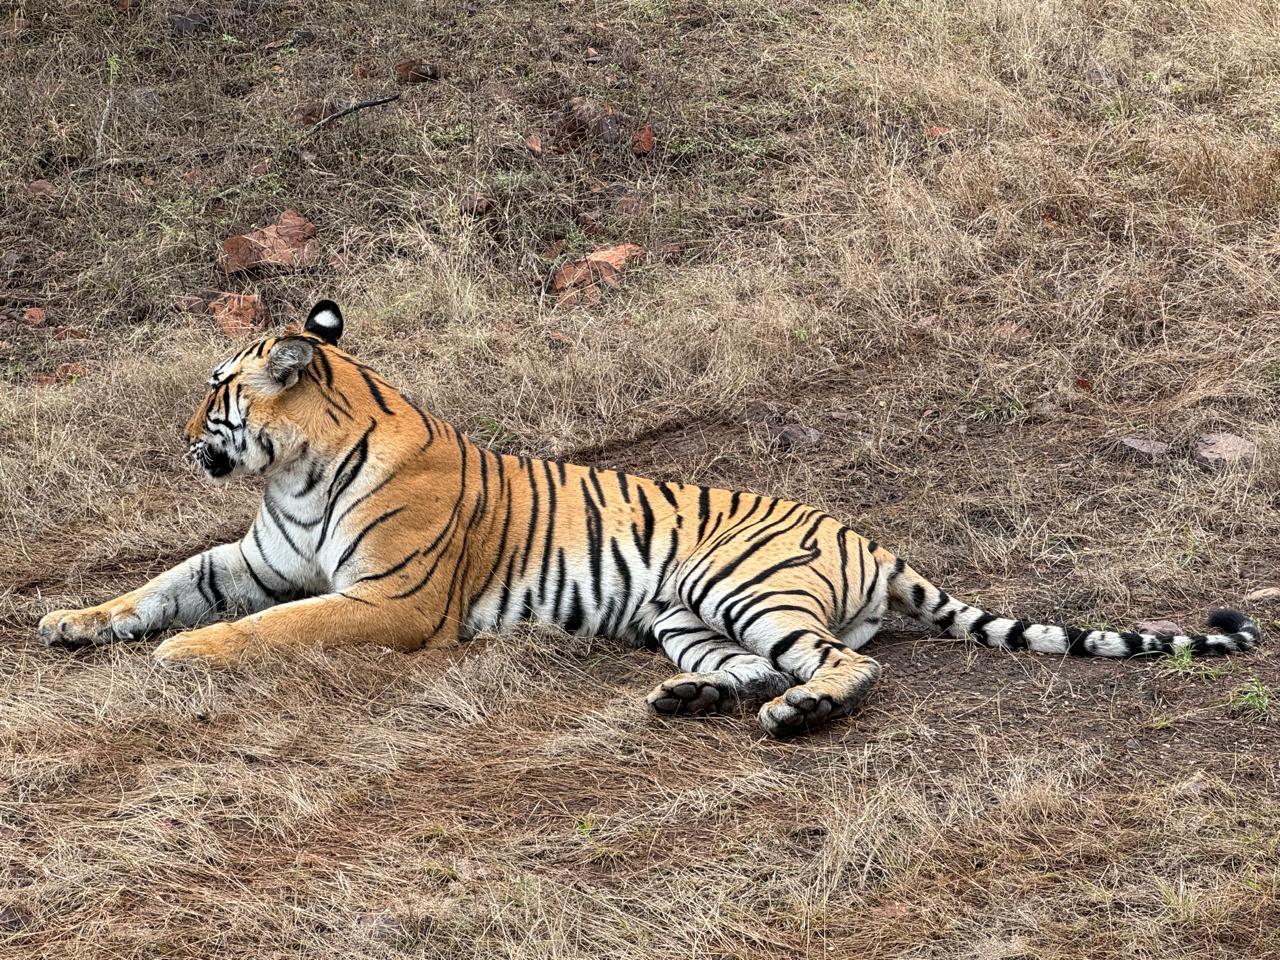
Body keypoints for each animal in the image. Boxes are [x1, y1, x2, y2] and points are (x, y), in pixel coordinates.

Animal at [38, 300, 1262, 737]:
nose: (181, 434)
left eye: (216, 387)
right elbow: (163, 585)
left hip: (743, 583)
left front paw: (186, 657)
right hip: (686, 614)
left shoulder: (384, 601)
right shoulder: (253, 556)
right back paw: (691, 700)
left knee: (846, 665)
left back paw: (797, 718)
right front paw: (71, 622)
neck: (288, 473)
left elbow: (266, 627)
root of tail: (871, 539)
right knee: (756, 667)